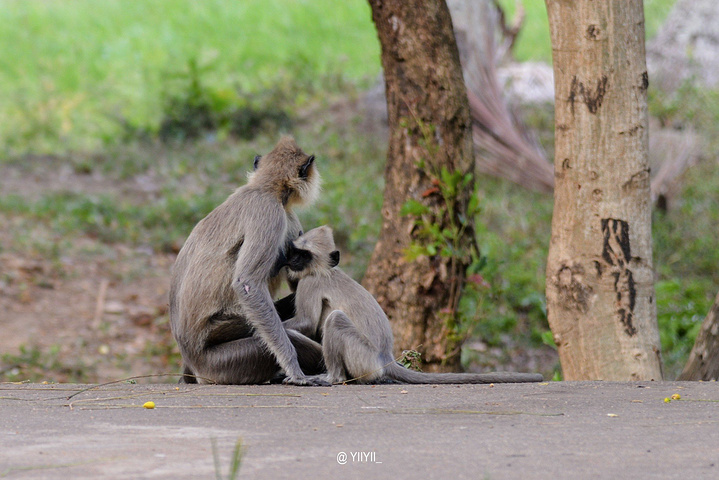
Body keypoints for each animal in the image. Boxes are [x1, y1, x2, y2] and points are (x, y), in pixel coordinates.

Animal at [169, 136, 329, 386]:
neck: (262, 188)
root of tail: (191, 358)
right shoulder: (272, 213)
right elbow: (248, 284)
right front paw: (296, 372)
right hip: (224, 358)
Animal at [282, 226, 545, 385]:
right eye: (296, 251)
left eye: (304, 255)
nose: (291, 260)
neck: (324, 270)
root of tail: (384, 357)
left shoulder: (310, 282)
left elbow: (308, 322)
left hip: (363, 357)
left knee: (335, 319)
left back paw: (332, 378)